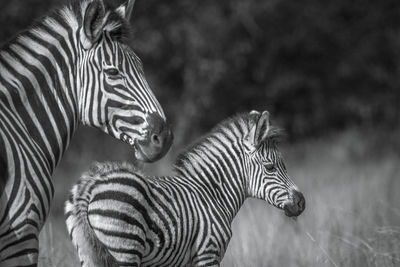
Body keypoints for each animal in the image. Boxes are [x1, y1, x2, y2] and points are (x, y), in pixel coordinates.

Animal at [65, 111, 304, 267]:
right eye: (270, 167)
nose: (301, 202)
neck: (212, 194)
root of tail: (92, 186)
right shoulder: (208, 253)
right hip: (125, 248)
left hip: (89, 252)